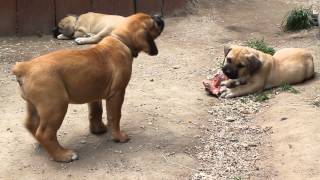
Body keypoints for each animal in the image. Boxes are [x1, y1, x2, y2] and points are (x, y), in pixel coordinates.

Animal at [11, 12, 165, 162]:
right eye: (154, 22)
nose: (159, 15)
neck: (120, 40)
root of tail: (24, 67)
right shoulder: (117, 93)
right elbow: (114, 116)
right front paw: (118, 137)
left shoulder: (94, 93)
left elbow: (96, 112)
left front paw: (98, 129)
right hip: (56, 106)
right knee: (44, 133)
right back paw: (63, 155)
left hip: (35, 105)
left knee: (31, 125)